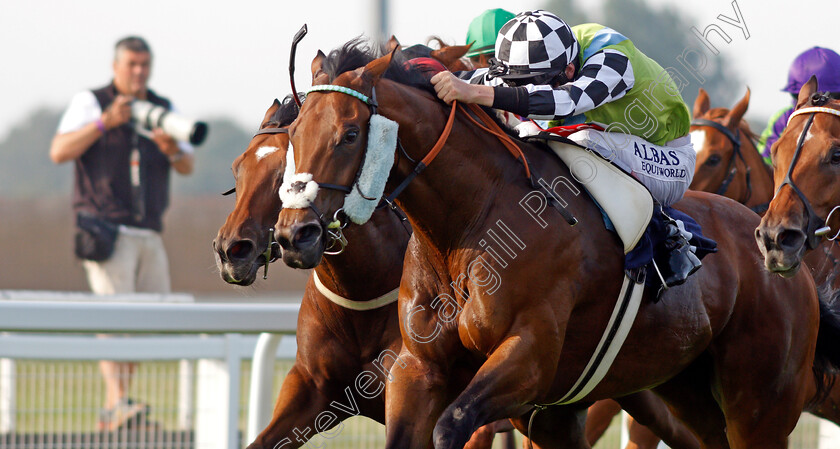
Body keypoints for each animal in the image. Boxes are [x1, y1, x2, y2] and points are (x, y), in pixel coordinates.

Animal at [274, 43, 832, 448]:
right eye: (294, 130)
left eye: (349, 134)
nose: (293, 233)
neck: (470, 225)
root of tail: (780, 256)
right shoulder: (418, 368)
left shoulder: (529, 357)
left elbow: (452, 425)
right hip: (680, 388)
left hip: (759, 404)